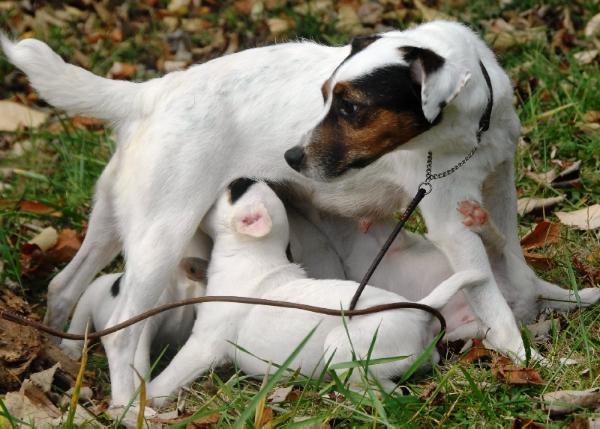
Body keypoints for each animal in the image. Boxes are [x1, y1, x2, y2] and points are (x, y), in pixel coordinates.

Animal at [148, 178, 486, 404]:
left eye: (234, 189)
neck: (253, 255)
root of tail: (417, 311)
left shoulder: (204, 344)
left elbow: (173, 373)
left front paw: (144, 399)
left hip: (341, 347)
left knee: (382, 389)